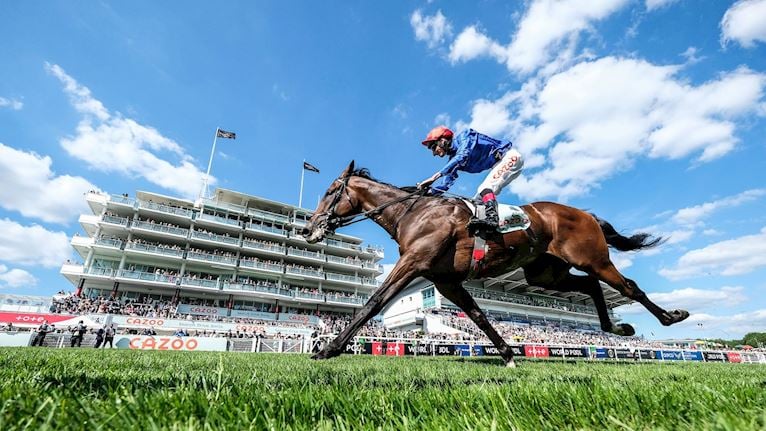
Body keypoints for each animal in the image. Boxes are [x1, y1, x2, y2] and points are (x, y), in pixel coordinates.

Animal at [304, 162, 692, 368]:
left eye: (330, 191)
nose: (309, 228)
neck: (413, 213)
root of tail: (585, 214)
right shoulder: (444, 281)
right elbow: (478, 316)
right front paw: (507, 354)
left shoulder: (413, 263)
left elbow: (372, 304)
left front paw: (328, 349)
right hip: (546, 272)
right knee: (590, 286)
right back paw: (618, 328)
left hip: (593, 257)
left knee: (628, 287)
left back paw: (670, 316)